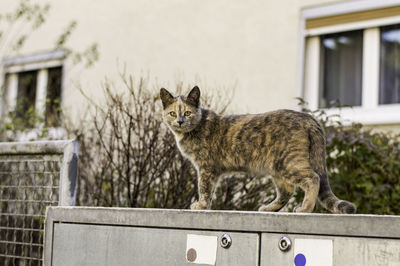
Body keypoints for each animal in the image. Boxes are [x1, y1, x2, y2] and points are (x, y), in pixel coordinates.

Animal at [159, 86, 356, 213]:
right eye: (172, 113)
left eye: (187, 113)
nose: (180, 122)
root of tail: (309, 118)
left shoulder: (206, 168)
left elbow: (204, 188)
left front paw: (201, 205)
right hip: (277, 168)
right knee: (287, 191)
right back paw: (269, 208)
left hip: (289, 162)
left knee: (313, 178)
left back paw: (305, 208)